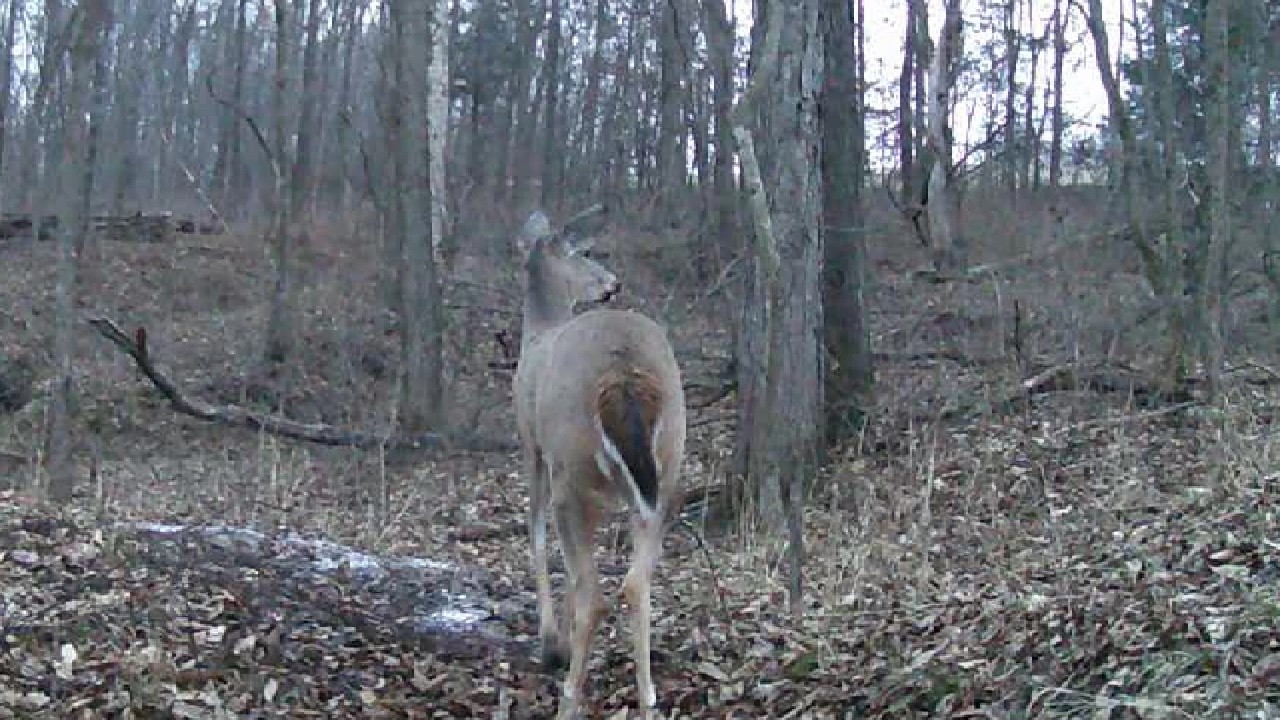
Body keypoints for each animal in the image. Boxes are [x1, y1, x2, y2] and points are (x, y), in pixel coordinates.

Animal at [512, 210, 686, 719]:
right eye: (586, 253)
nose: (614, 283)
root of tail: (622, 373)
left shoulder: (532, 443)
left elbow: (535, 534)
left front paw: (551, 643)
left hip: (571, 467)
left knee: (593, 591)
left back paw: (569, 698)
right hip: (667, 466)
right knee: (635, 584)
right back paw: (648, 701)